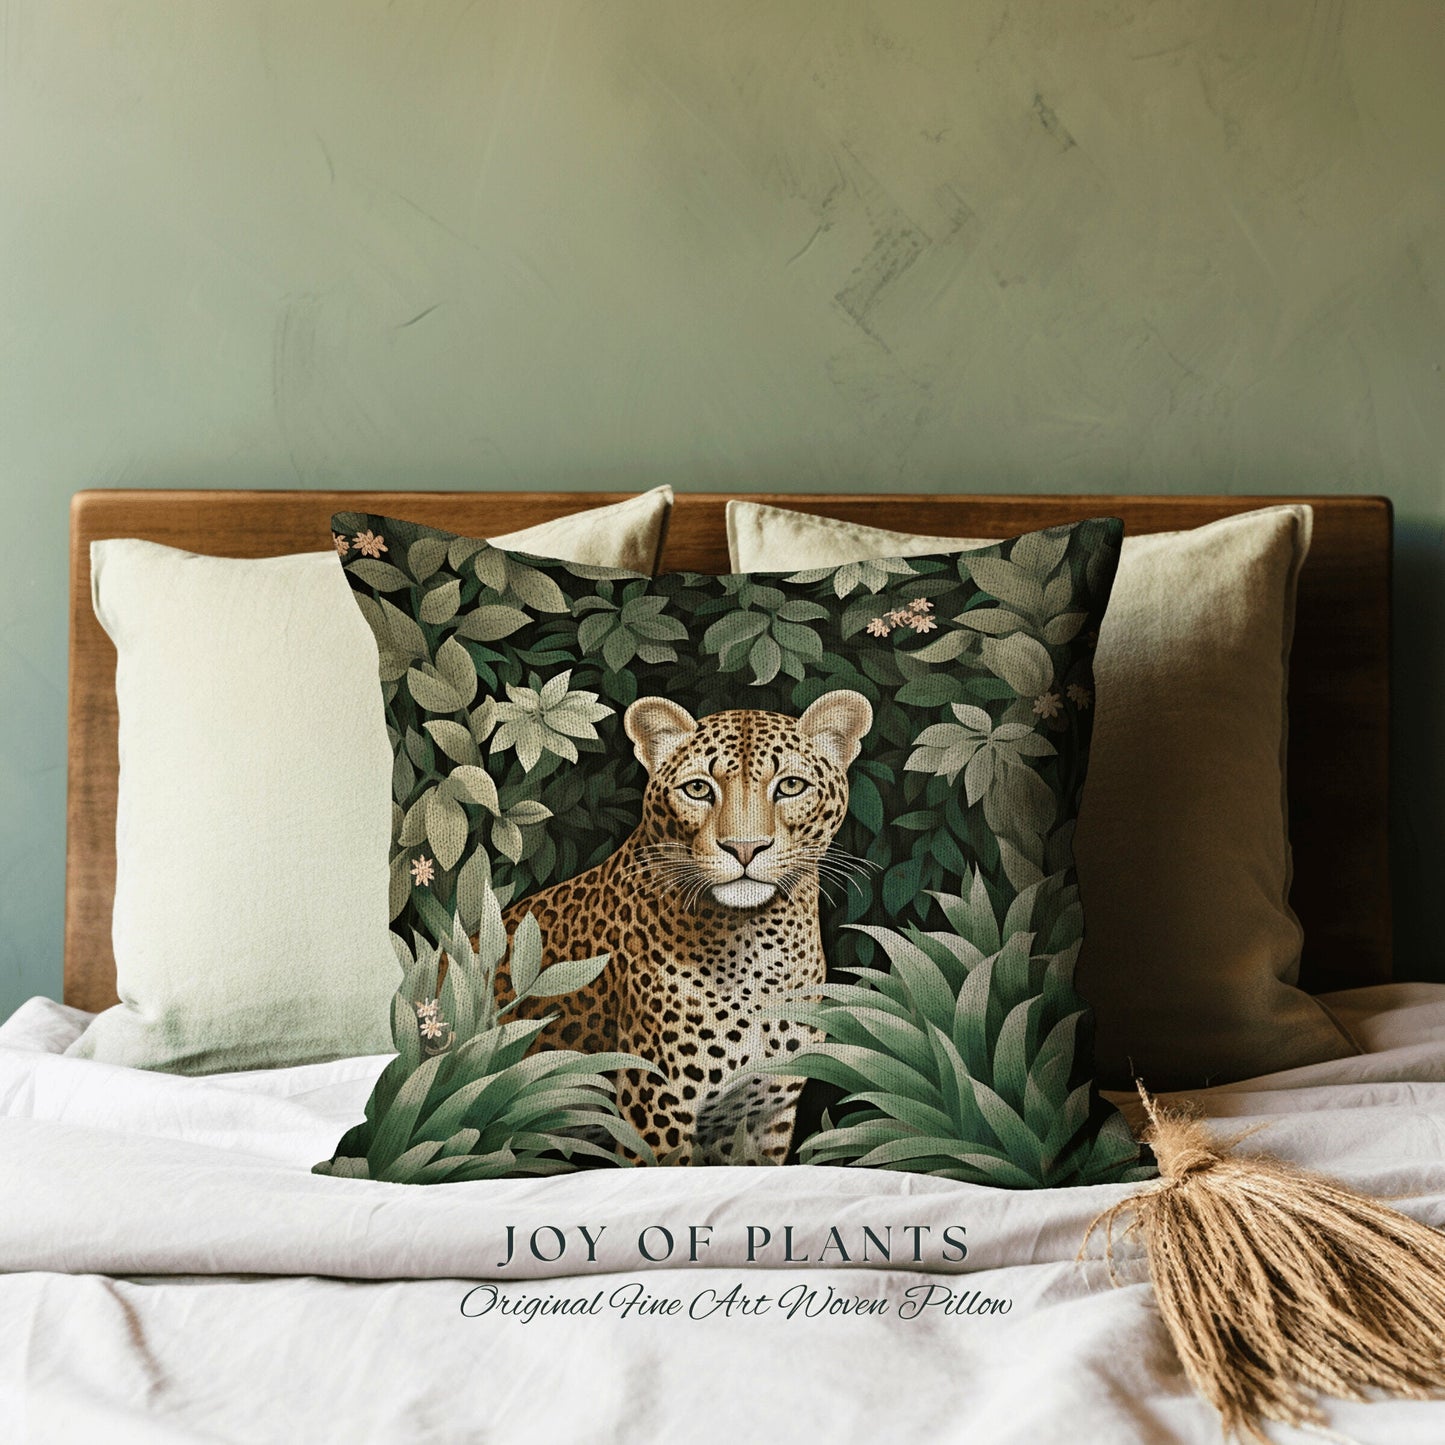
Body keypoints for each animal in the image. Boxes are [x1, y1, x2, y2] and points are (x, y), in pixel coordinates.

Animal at [494, 689, 873, 1166]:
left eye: (790, 786)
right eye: (698, 789)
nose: (744, 848)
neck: (761, 946)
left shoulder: (765, 1113)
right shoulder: (656, 1111)